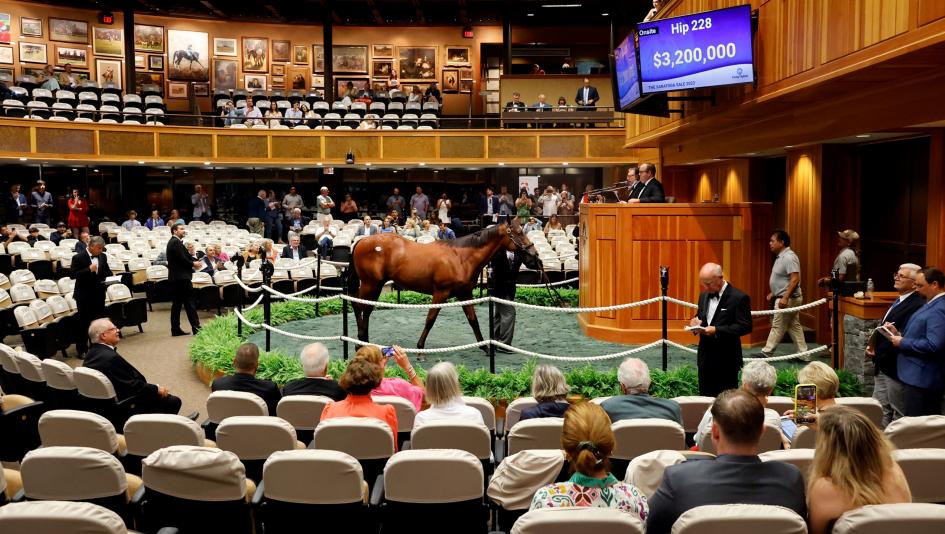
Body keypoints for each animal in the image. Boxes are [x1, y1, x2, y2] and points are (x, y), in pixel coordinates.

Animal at [347, 218, 541, 350]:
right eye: (518, 233)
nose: (535, 256)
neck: (461, 257)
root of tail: (361, 241)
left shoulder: (465, 294)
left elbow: (473, 320)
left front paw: (485, 346)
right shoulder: (440, 293)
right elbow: (430, 319)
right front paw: (420, 347)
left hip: (376, 285)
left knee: (366, 309)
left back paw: (364, 341)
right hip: (370, 284)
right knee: (358, 305)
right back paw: (359, 342)